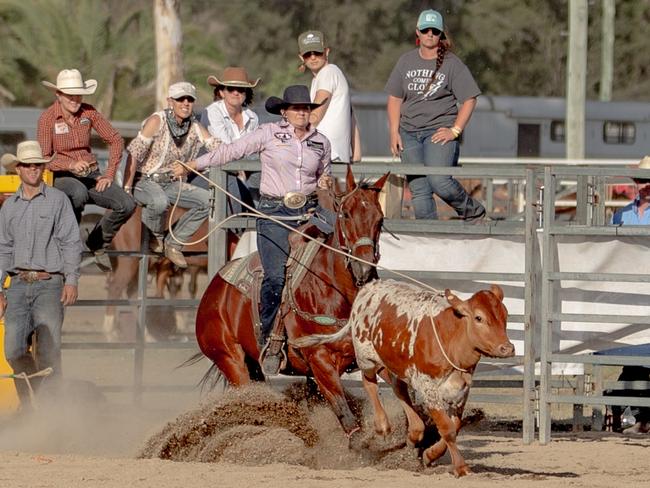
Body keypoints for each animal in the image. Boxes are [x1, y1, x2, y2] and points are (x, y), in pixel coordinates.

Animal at [192, 166, 384, 432]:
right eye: (345, 214)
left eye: (380, 219)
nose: (364, 270)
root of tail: (213, 290)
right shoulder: (320, 360)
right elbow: (347, 418)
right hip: (230, 359)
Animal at [292, 278, 512, 476]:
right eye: (478, 318)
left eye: (505, 315)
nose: (508, 348)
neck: (450, 339)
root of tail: (367, 289)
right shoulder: (428, 389)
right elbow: (447, 429)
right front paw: (461, 467)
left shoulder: (461, 392)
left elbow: (455, 426)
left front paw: (430, 454)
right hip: (366, 357)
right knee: (369, 382)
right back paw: (382, 425)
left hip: (396, 366)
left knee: (399, 390)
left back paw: (414, 432)